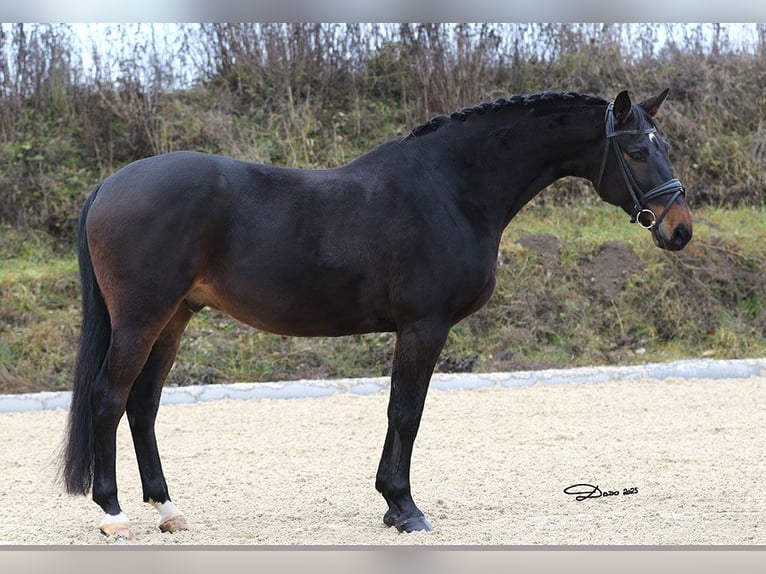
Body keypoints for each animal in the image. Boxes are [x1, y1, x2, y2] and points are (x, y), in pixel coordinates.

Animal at [60, 89, 692, 538]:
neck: (451, 189)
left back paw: (167, 510)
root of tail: (111, 184)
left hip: (174, 318)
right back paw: (114, 514)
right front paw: (405, 508)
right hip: (141, 320)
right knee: (109, 398)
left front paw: (392, 507)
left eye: (664, 146)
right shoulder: (423, 327)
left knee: (142, 405)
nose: (679, 229)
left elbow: (398, 412)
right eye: (637, 150)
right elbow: (406, 412)